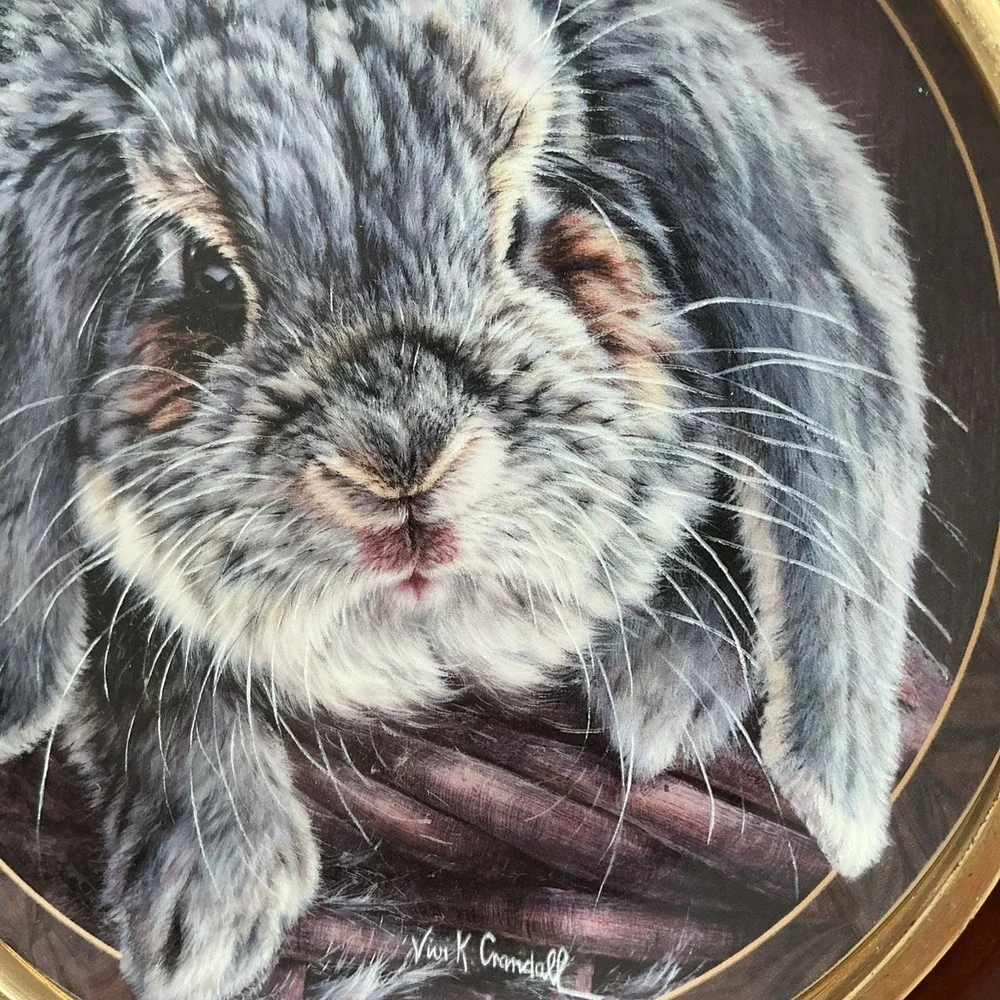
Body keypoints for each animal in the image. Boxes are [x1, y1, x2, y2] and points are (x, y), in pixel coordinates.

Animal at [0, 0, 929, 997]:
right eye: (209, 275)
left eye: (526, 217)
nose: (401, 459)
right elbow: (144, 653)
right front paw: (207, 911)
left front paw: (664, 695)